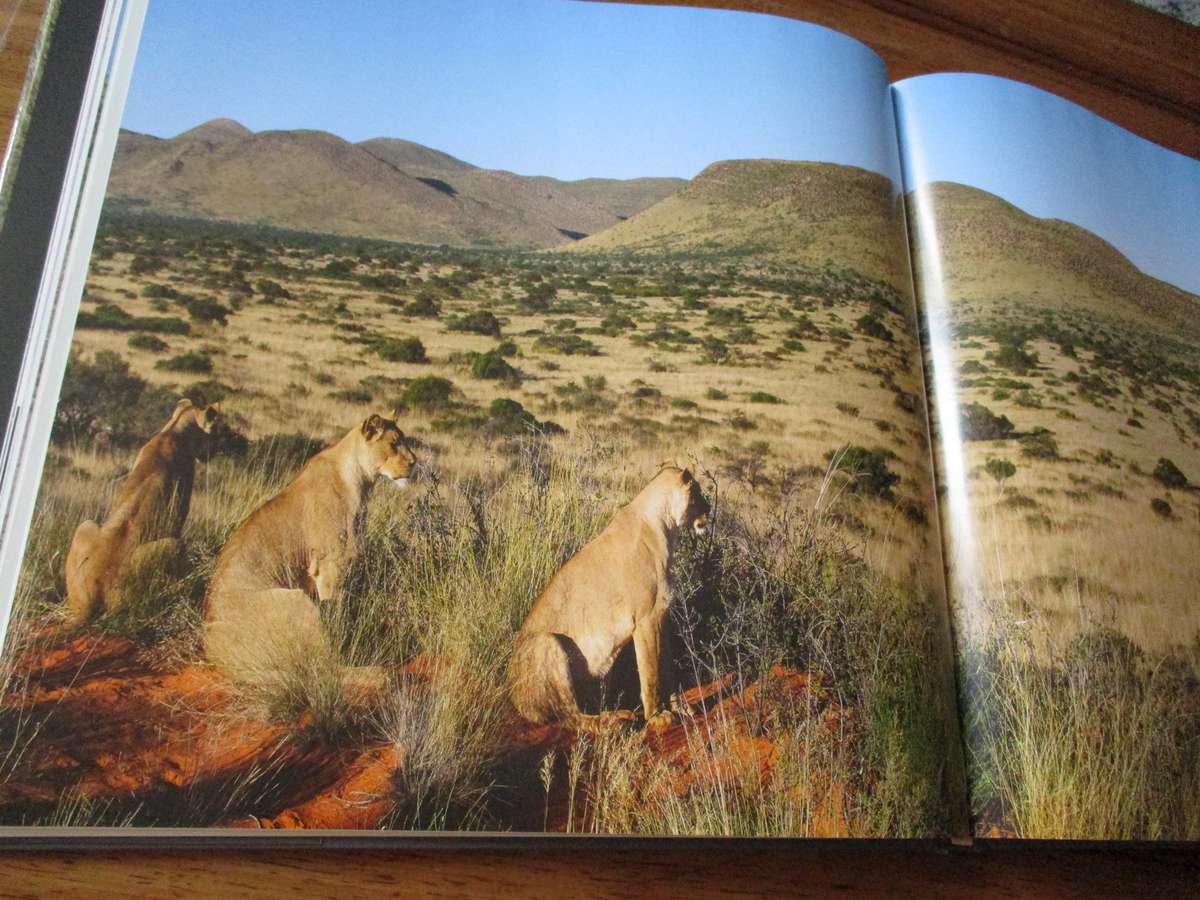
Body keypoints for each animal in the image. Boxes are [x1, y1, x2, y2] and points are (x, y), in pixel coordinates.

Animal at [63, 398, 220, 628]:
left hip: (85, 524)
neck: (174, 430)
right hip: (173, 546)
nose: (214, 452)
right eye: (216, 429)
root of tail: (90, 601)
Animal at [202, 412, 417, 698]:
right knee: (324, 670)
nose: (415, 463)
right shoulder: (330, 566)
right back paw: (379, 674)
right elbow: (337, 617)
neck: (359, 478)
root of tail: (213, 653)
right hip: (296, 602)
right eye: (394, 443)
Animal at [507, 465, 710, 729]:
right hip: (548, 642)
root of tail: (512, 696)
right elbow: (650, 672)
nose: (709, 508)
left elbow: (667, 668)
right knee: (573, 717)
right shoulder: (645, 619)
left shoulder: (662, 617)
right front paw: (657, 716)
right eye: (698, 493)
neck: (666, 526)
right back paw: (616, 720)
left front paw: (680, 707)